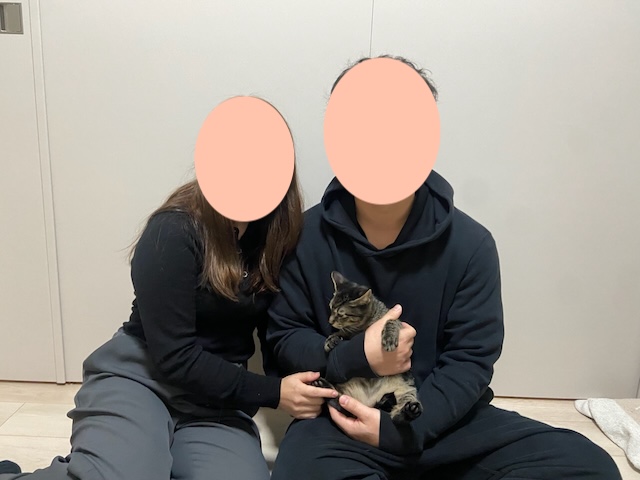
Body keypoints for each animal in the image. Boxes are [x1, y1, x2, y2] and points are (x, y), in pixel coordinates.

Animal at [310, 271, 423, 424]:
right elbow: (342, 332)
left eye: (341, 314)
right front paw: (331, 339)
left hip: (405, 387)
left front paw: (389, 337)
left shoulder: (398, 322)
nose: (330, 321)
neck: (362, 326)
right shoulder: (349, 332)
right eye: (331, 307)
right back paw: (322, 385)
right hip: (343, 390)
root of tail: (368, 403)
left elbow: (391, 320)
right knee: (339, 401)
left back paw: (410, 410)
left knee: (397, 416)